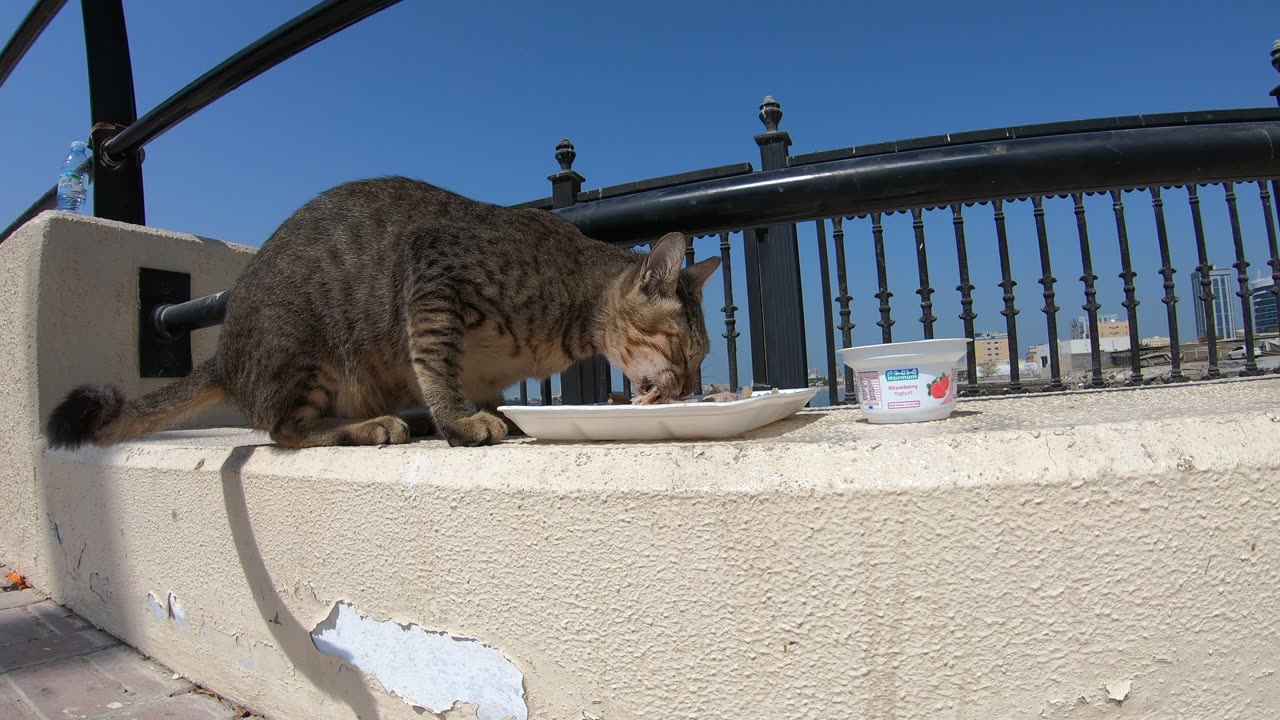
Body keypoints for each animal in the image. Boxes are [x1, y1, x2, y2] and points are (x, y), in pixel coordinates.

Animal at [45, 176, 721, 445]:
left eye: (704, 356)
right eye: (687, 352)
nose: (693, 387)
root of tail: (225, 354)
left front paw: (480, 411)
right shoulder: (434, 276)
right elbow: (437, 365)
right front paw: (461, 421)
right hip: (307, 349)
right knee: (284, 430)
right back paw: (370, 427)